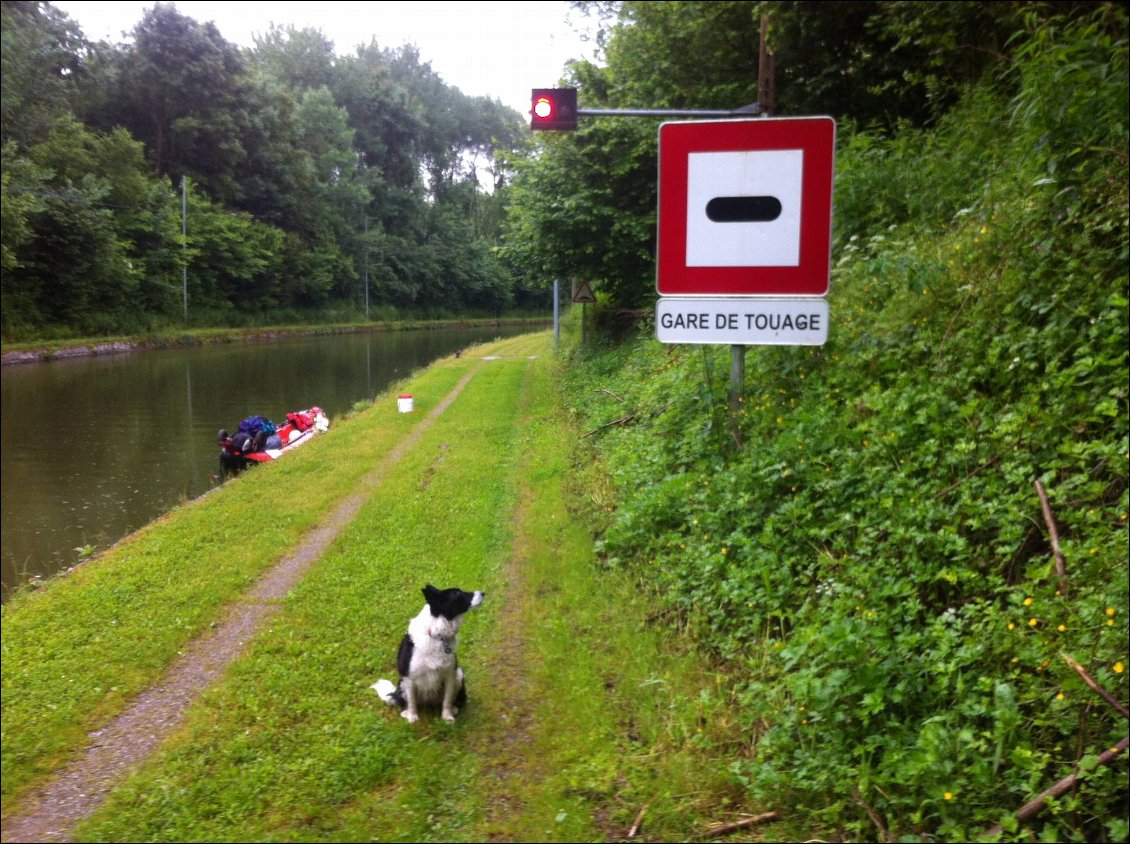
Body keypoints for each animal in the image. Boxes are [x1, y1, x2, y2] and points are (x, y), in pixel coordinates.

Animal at [372, 583, 483, 723]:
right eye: (457, 594)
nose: (483, 593)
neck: (436, 635)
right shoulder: (409, 678)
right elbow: (412, 702)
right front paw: (412, 718)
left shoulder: (450, 674)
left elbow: (447, 700)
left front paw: (447, 717)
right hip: (402, 683)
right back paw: (405, 712)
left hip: (459, 674)